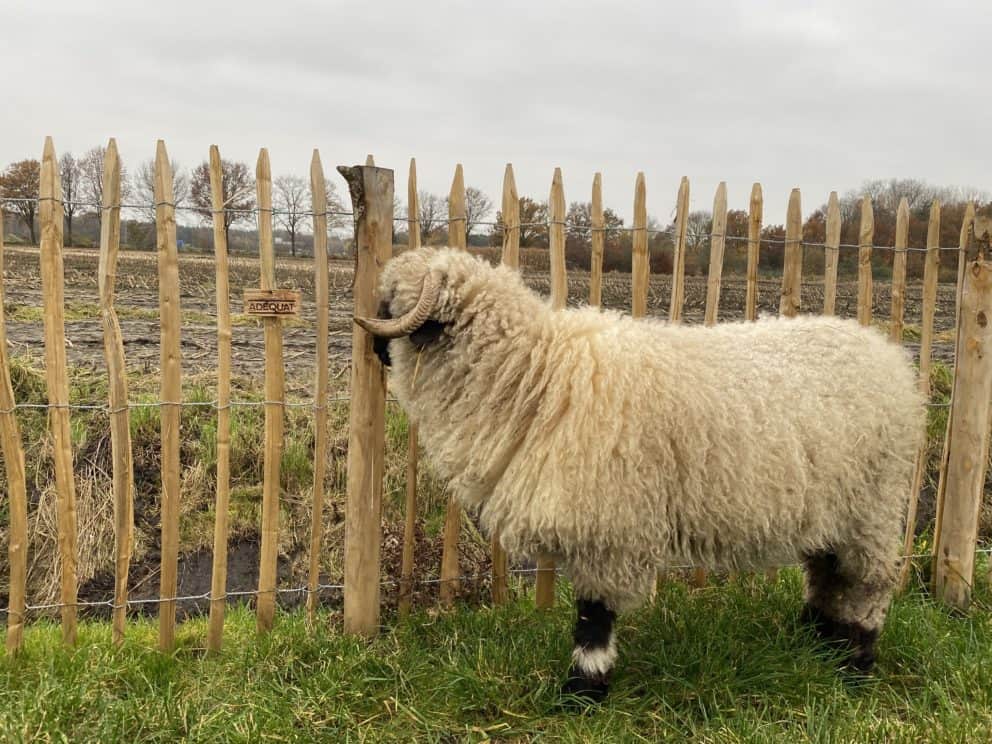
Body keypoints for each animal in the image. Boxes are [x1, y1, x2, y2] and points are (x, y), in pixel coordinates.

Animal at [354, 247, 924, 700]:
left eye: (390, 304)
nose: (373, 349)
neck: (532, 374)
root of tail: (890, 357)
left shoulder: (607, 526)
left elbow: (593, 616)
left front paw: (583, 693)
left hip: (874, 505)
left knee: (869, 584)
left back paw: (857, 664)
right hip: (834, 508)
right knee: (828, 572)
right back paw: (817, 640)